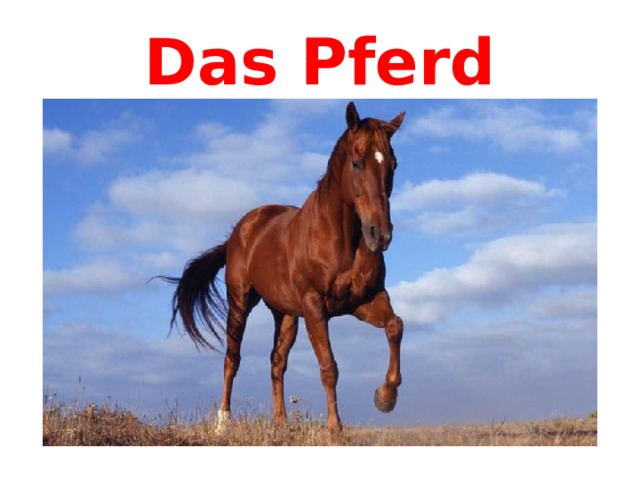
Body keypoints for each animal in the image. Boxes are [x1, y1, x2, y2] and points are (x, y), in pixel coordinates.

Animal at [161, 102, 405, 434]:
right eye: (356, 163)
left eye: (393, 165)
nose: (380, 235)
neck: (340, 239)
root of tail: (238, 233)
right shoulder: (315, 306)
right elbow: (329, 366)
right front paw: (335, 428)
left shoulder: (365, 300)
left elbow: (395, 326)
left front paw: (385, 397)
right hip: (240, 302)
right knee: (232, 359)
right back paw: (223, 422)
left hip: (285, 314)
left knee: (276, 362)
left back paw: (280, 423)